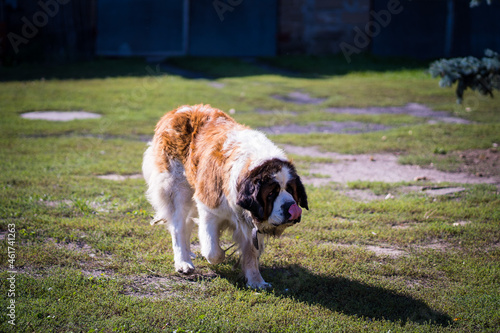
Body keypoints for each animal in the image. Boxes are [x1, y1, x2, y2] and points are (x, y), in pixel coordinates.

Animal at [142, 104, 308, 288]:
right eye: (271, 193)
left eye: (291, 189)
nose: (291, 208)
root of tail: (178, 110)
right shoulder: (209, 209)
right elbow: (212, 251)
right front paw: (220, 255)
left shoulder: (250, 223)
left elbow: (251, 253)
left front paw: (256, 281)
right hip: (178, 189)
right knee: (178, 227)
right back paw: (183, 262)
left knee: (186, 224)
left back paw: (188, 254)